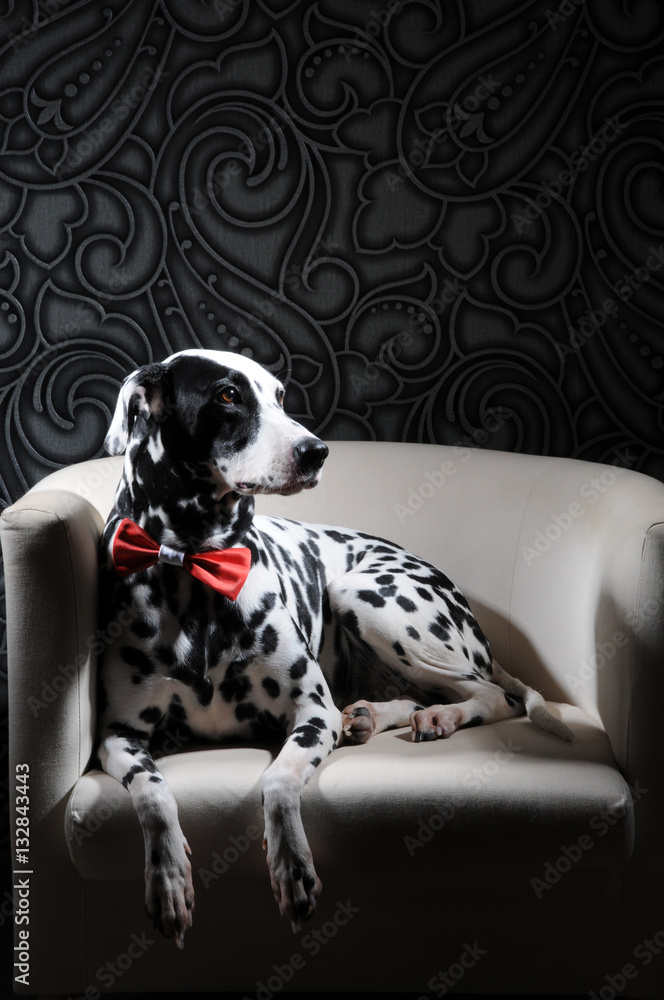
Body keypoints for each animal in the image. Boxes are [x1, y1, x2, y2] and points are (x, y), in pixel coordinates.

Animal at [97, 348, 572, 948]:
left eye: (280, 395)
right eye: (228, 395)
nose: (316, 451)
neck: (199, 566)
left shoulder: (312, 712)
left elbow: (278, 780)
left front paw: (292, 864)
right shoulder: (118, 735)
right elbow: (153, 794)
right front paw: (167, 881)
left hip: (365, 598)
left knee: (492, 695)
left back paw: (440, 716)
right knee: (419, 697)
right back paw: (374, 716)